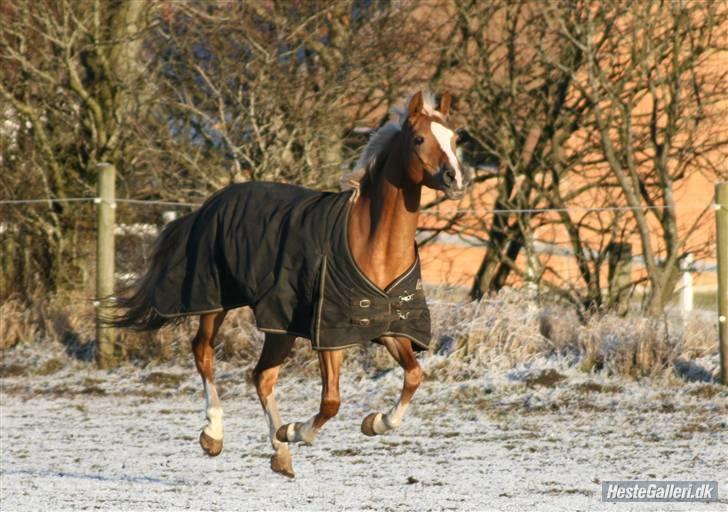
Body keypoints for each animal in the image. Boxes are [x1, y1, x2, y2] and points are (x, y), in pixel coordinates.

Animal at [111, 91, 470, 476]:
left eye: (454, 139)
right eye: (419, 139)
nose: (454, 179)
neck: (373, 246)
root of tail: (208, 205)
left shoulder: (389, 327)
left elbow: (414, 376)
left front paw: (374, 422)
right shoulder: (329, 333)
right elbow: (331, 401)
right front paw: (296, 431)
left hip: (279, 324)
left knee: (262, 377)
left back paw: (280, 455)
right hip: (215, 302)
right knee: (204, 352)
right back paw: (215, 434)